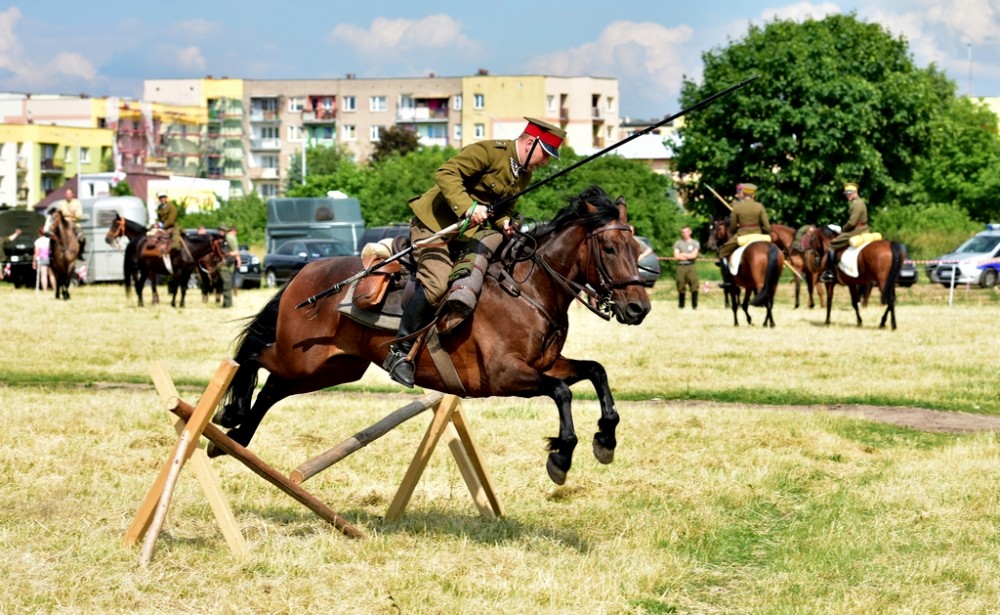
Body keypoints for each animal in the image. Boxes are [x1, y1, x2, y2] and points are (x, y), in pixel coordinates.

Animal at [212, 186, 652, 486]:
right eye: (611, 248)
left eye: (636, 247)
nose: (639, 309)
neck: (528, 288)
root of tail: (304, 272)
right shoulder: (505, 375)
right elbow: (561, 393)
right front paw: (561, 456)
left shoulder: (547, 364)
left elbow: (595, 371)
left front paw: (605, 438)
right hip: (300, 357)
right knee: (253, 357)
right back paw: (230, 417)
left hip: (332, 368)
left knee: (273, 388)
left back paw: (232, 437)